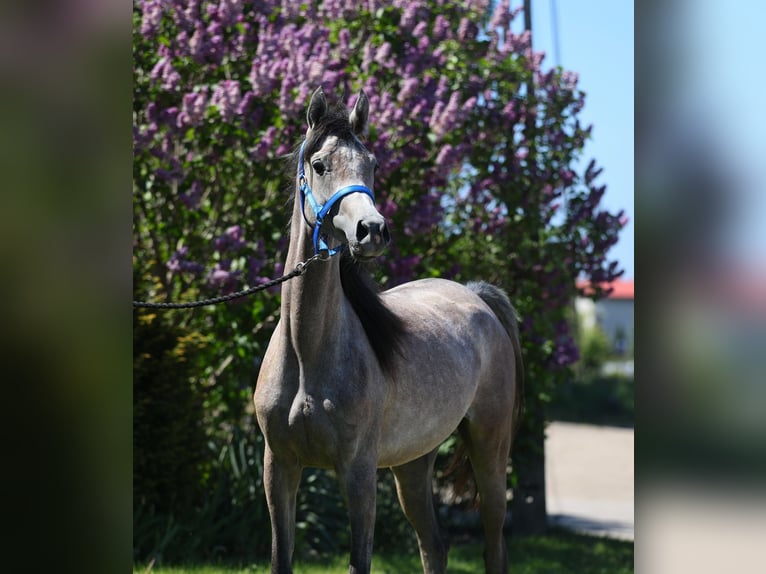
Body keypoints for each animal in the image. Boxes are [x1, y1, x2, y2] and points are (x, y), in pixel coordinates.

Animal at [255, 86, 524, 574]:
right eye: (319, 165)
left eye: (373, 164)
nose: (372, 230)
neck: (306, 355)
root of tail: (479, 299)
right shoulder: (278, 468)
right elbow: (280, 558)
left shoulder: (358, 474)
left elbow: (359, 561)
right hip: (413, 466)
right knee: (434, 547)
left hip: (490, 455)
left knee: (494, 547)